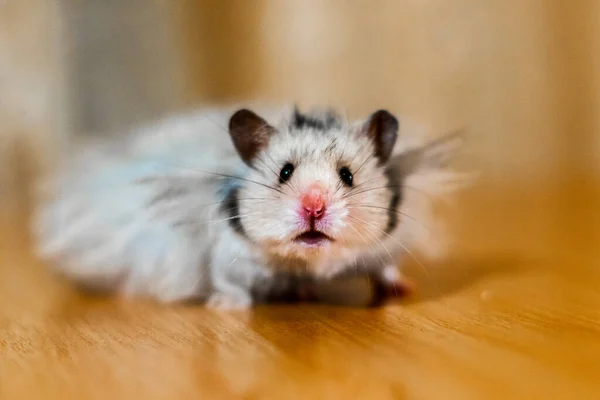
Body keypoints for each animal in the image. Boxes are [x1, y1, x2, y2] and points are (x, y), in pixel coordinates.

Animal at [32, 104, 466, 310]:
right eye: (285, 172)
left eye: (347, 176)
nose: (314, 209)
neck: (307, 262)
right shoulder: (229, 255)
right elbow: (225, 280)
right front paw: (226, 309)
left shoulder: (382, 247)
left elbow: (387, 267)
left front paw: (402, 290)